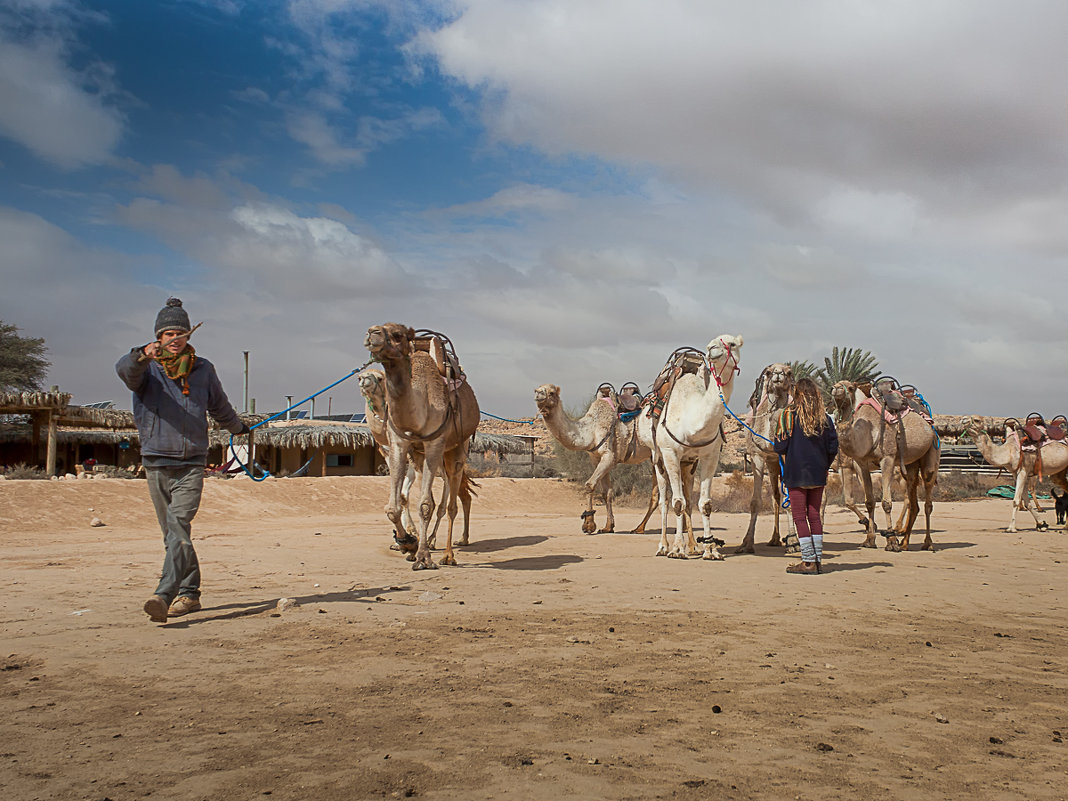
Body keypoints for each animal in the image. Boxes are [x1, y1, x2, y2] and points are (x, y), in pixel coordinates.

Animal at [365, 322, 478, 568]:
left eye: (397, 334)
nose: (372, 333)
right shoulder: (398, 443)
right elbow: (393, 507)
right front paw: (408, 542)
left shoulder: (435, 443)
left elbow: (426, 505)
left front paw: (424, 557)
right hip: (420, 456)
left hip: (457, 449)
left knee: (453, 504)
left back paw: (448, 554)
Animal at [636, 335, 747, 559]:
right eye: (710, 344)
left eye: (732, 344)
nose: (713, 350)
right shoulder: (670, 453)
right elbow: (677, 502)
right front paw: (677, 549)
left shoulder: (710, 456)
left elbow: (704, 504)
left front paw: (711, 550)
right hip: (657, 458)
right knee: (663, 500)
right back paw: (664, 546)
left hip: (688, 464)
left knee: (687, 496)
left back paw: (694, 545)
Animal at [828, 380, 939, 551]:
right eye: (835, 384)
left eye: (851, 387)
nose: (835, 389)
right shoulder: (861, 463)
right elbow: (869, 502)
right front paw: (869, 539)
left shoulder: (885, 458)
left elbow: (885, 503)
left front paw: (891, 541)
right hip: (910, 466)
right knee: (913, 501)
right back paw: (904, 542)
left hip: (931, 453)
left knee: (927, 501)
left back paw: (926, 543)